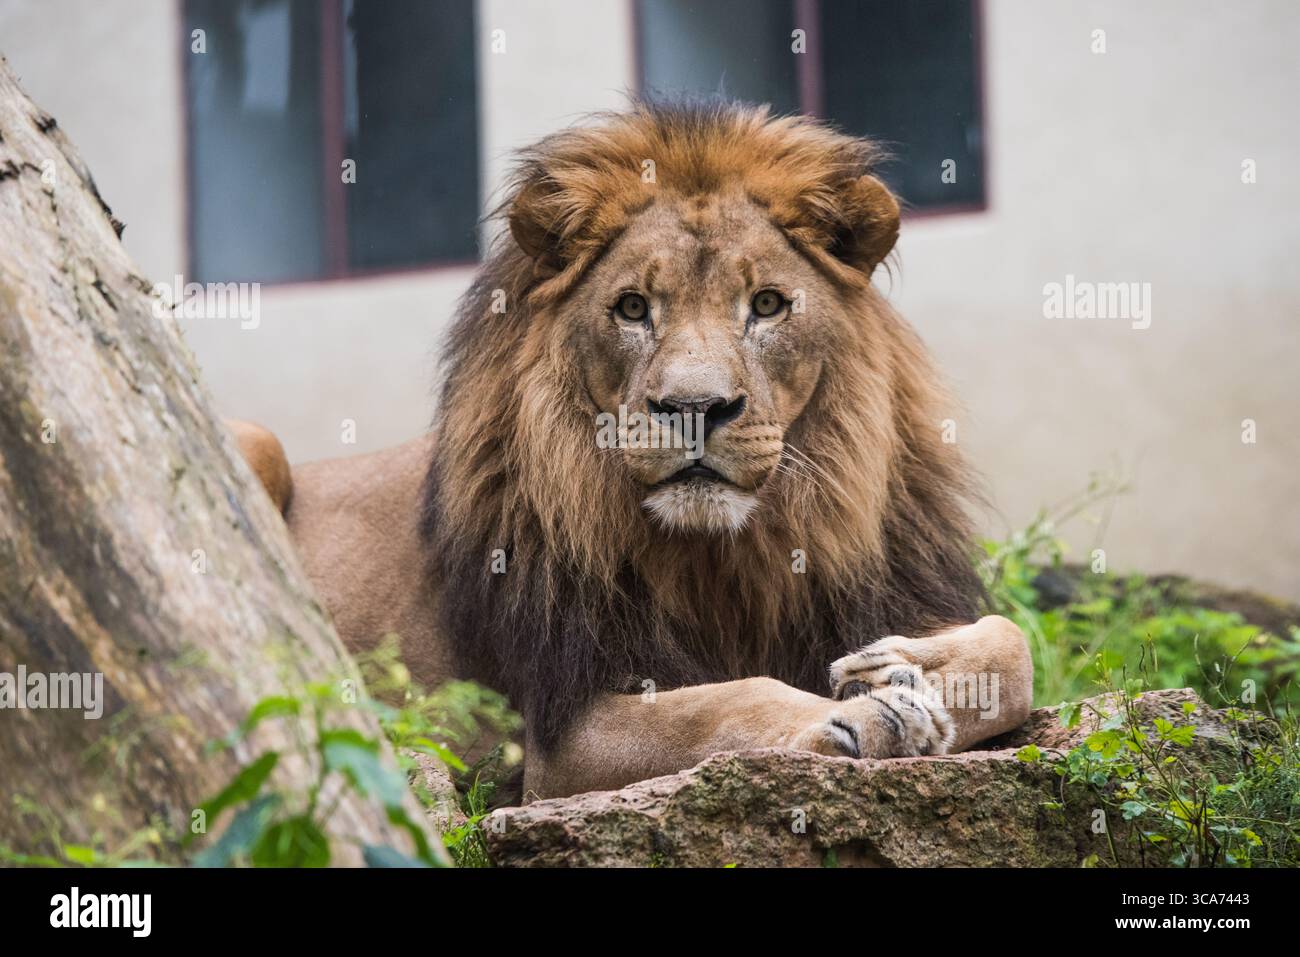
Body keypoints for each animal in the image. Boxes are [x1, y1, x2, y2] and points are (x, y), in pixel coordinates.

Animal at [232, 100, 1033, 799]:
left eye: (768, 304)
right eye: (632, 308)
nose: (695, 409)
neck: (730, 559)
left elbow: (1012, 644)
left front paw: (896, 665)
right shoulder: (561, 732)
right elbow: (728, 702)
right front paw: (868, 712)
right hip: (252, 439)